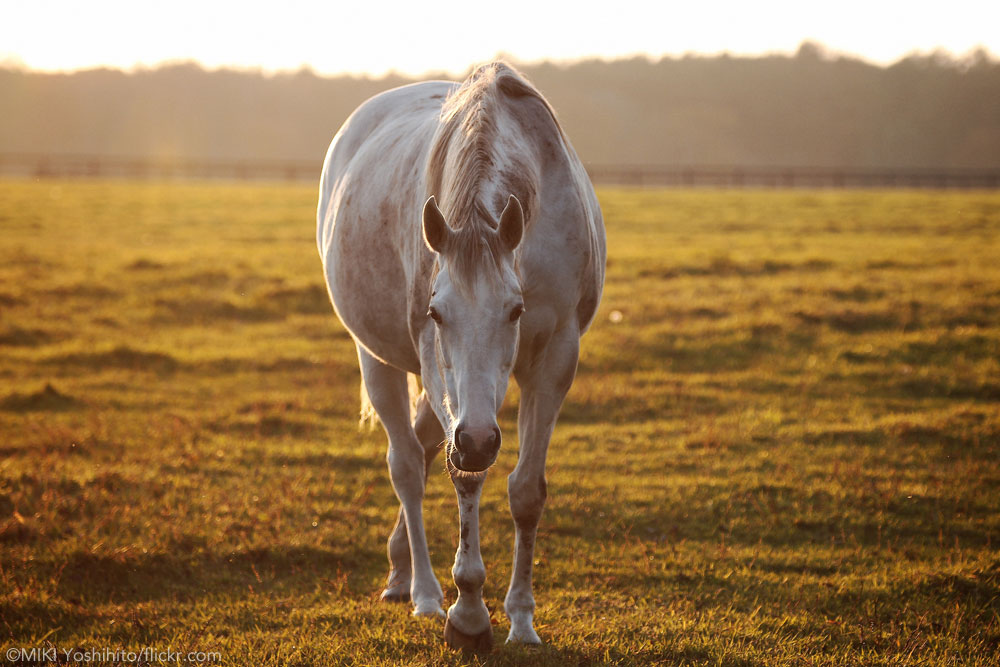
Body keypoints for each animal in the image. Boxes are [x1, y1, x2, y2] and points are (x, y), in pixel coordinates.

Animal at [316, 64, 604, 652]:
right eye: (436, 311)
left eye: (516, 310)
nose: (476, 438)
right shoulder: (440, 372)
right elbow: (465, 475)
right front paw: (468, 614)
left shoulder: (555, 359)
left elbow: (526, 491)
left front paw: (521, 619)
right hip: (376, 358)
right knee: (407, 464)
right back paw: (423, 591)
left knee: (427, 447)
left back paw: (402, 567)